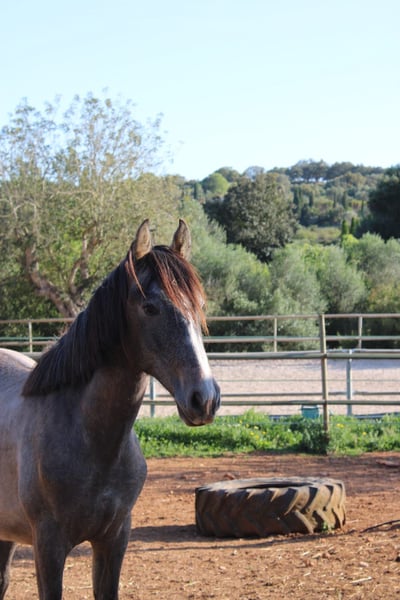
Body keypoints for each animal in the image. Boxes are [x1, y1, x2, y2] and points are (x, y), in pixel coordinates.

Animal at [0, 219, 220, 599]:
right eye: (150, 307)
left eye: (200, 304)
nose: (203, 399)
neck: (89, 437)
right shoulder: (48, 547)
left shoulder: (114, 540)